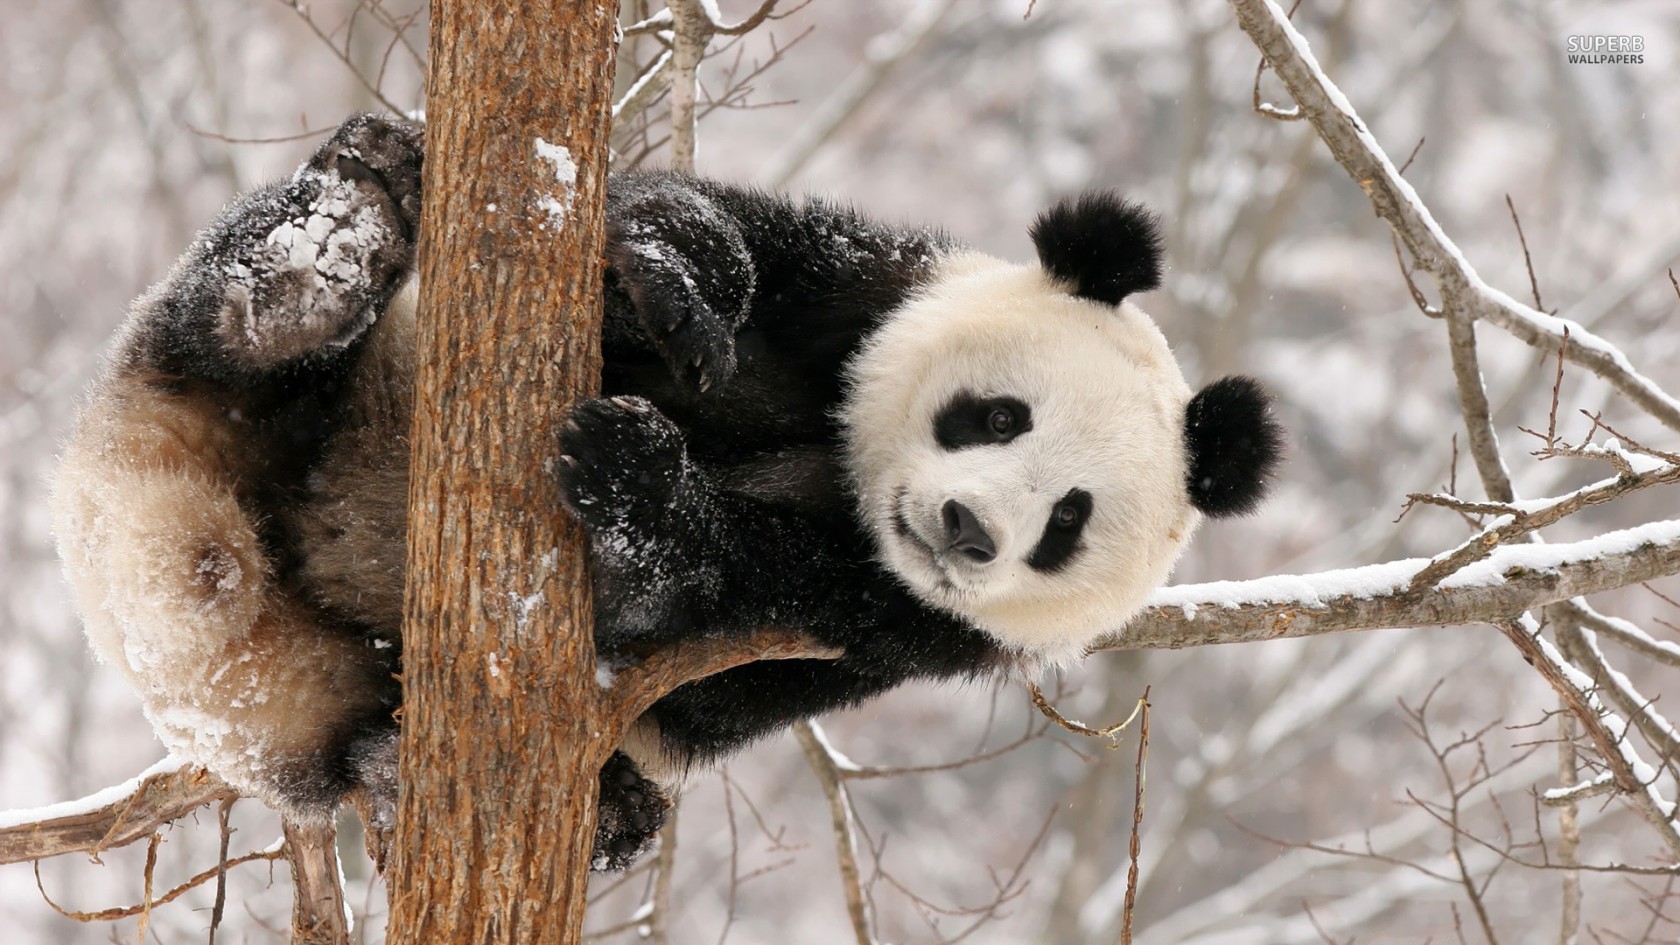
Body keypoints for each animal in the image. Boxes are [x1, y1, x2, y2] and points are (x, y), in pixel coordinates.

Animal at [50, 113, 1281, 870]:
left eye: (1068, 521)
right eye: (995, 416)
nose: (967, 528)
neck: (845, 477)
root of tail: (177, 564)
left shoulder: (901, 627)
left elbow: (706, 639)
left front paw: (638, 482)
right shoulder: (860, 292)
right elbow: (699, 236)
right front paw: (678, 286)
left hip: (324, 681)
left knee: (368, 742)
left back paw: (465, 780)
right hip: (251, 396)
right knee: (223, 330)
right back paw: (329, 246)